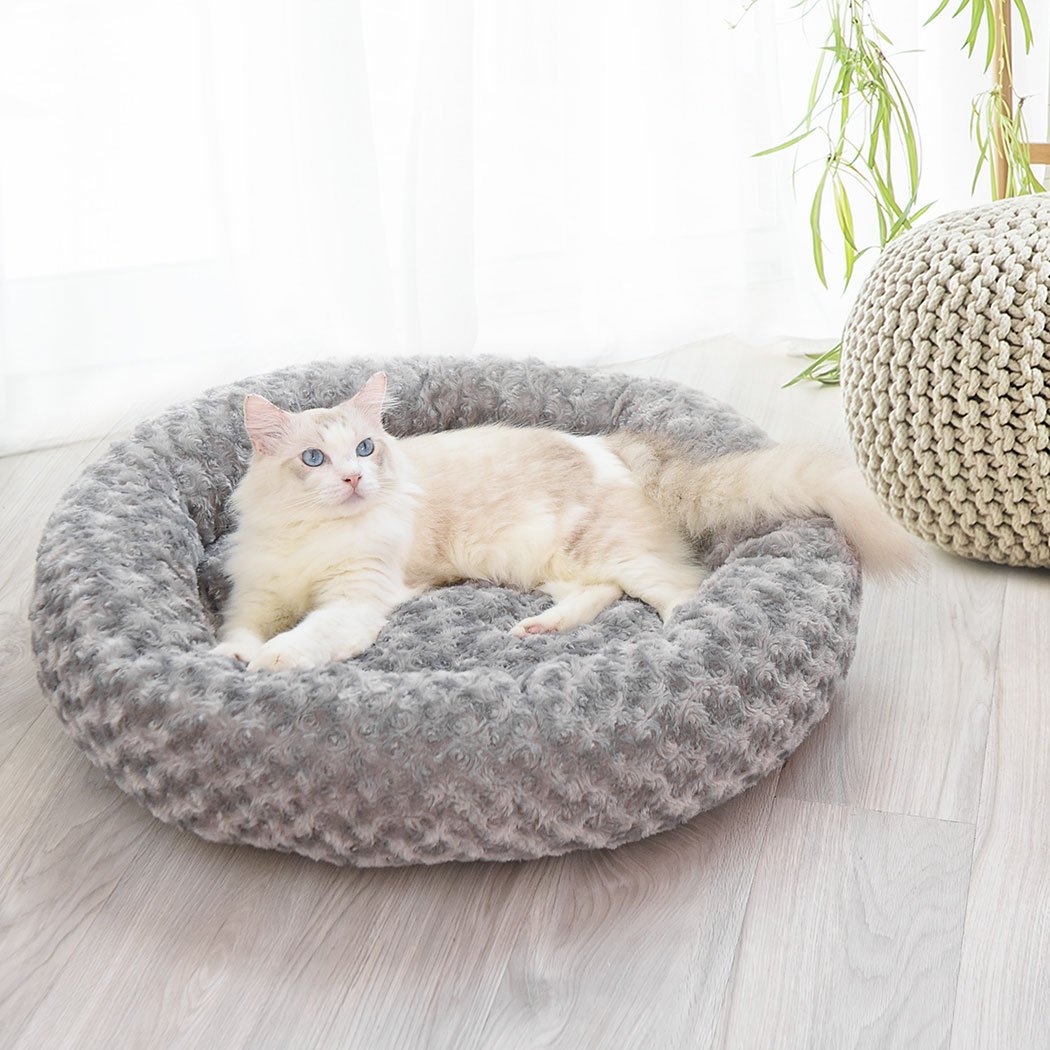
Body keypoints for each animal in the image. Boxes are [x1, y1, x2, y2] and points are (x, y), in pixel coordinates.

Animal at [213, 373, 911, 672]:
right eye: (314, 458)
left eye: (364, 449)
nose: (355, 481)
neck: (313, 536)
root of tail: (612, 445)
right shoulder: (257, 593)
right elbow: (240, 631)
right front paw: (233, 659)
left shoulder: (356, 598)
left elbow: (305, 636)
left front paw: (270, 662)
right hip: (552, 563)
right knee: (600, 593)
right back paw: (538, 628)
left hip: (613, 553)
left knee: (681, 594)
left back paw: (678, 639)